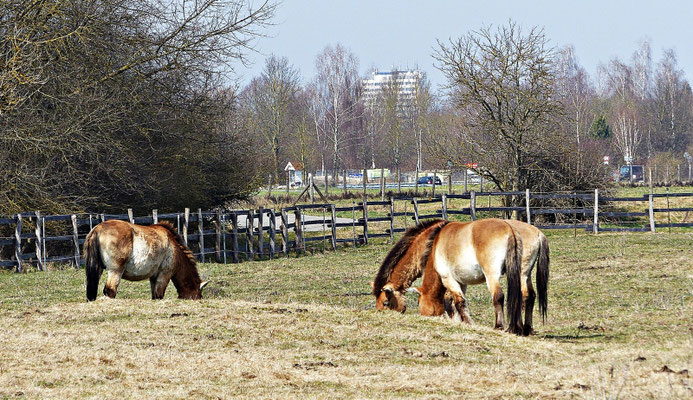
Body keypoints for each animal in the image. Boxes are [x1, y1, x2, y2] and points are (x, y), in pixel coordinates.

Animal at [409, 220, 549, 336]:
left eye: (418, 302)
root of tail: (511, 230)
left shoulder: (448, 279)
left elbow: (459, 301)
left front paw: (468, 322)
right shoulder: (461, 282)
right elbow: (453, 300)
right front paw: (458, 320)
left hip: (493, 275)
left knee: (500, 296)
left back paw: (501, 326)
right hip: (524, 275)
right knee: (528, 296)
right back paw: (525, 328)